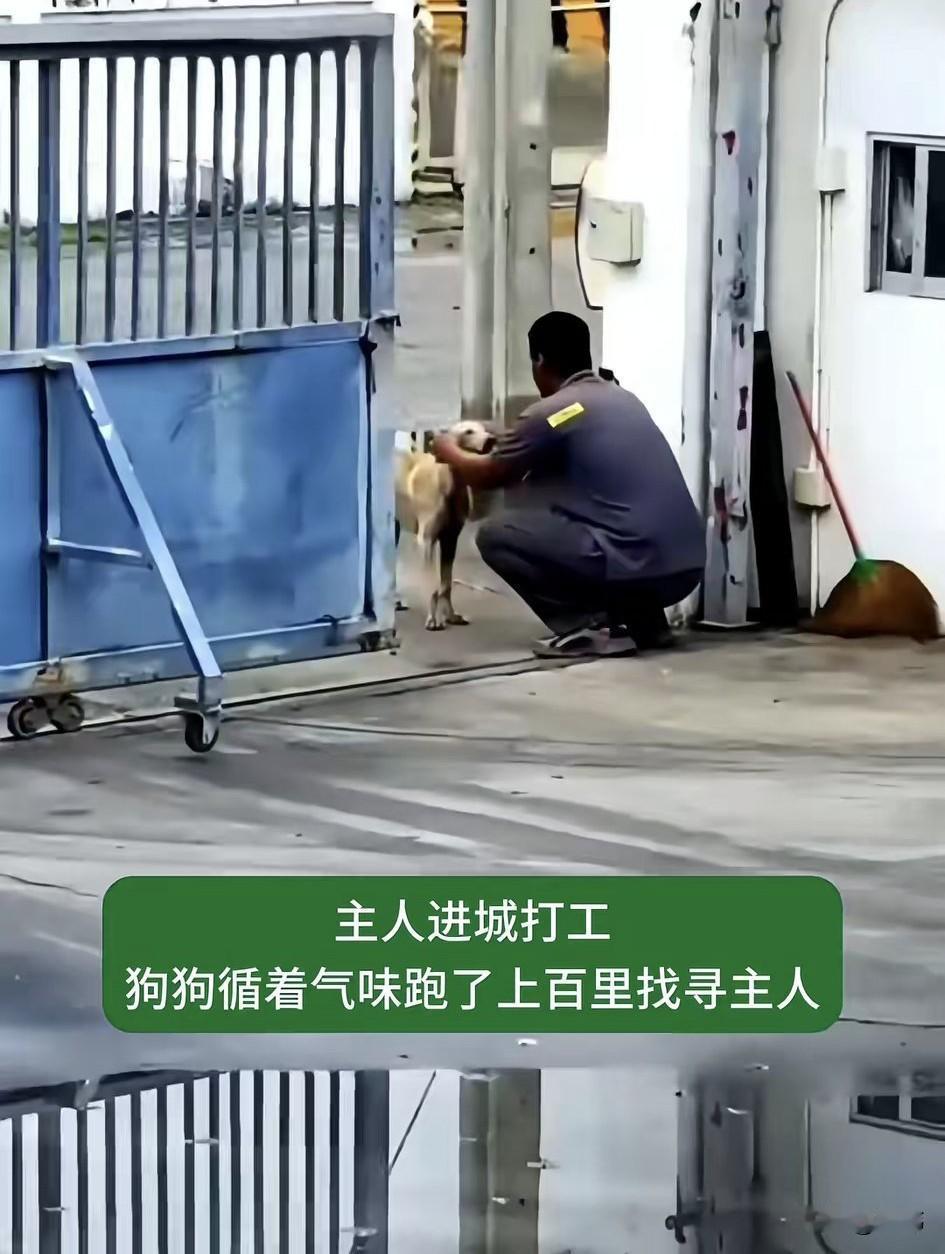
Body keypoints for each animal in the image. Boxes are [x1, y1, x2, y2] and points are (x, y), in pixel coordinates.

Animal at [394, 420, 495, 631]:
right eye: (468, 431)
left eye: (483, 429)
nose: (491, 440)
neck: (450, 482)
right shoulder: (427, 541)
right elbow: (433, 585)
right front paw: (433, 619)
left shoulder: (450, 540)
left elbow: (446, 584)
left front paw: (451, 616)